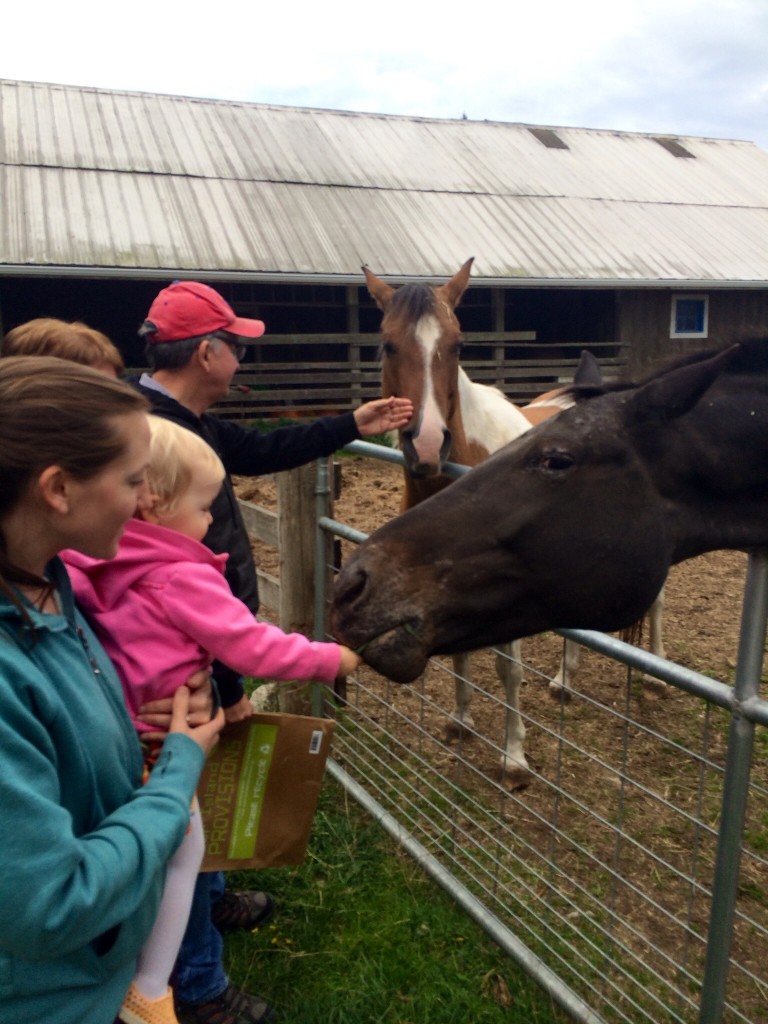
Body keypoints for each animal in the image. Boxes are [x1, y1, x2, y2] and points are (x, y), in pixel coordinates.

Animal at [360, 260, 618, 786]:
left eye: (459, 345)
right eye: (388, 345)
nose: (428, 443)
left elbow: (508, 671)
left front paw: (514, 757)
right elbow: (458, 654)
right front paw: (461, 720)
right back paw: (564, 681)